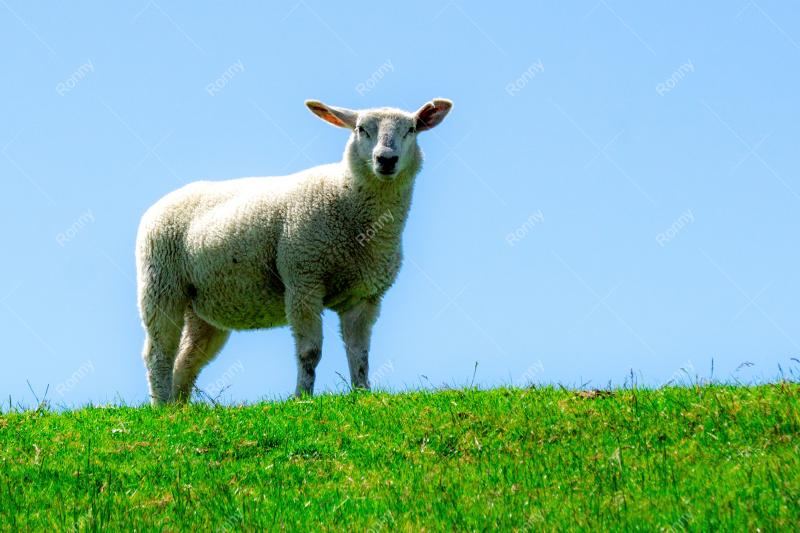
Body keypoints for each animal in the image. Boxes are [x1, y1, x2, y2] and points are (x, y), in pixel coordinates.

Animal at [135, 98, 453, 405]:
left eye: (411, 130)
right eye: (361, 129)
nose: (386, 159)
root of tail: (163, 201)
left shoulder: (365, 296)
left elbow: (359, 354)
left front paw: (362, 394)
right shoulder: (303, 280)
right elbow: (309, 352)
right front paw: (302, 398)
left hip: (203, 308)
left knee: (187, 359)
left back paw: (178, 408)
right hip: (161, 284)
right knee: (159, 353)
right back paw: (161, 407)